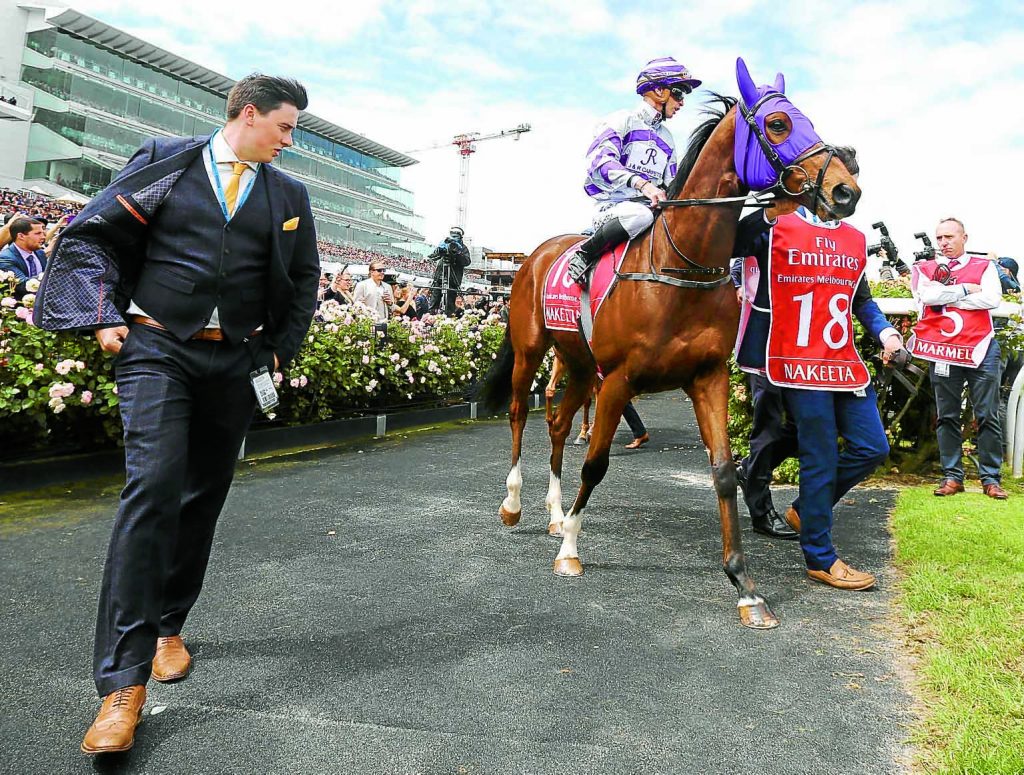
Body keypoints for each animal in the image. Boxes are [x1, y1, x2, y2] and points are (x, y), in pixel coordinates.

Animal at [481, 60, 864, 630]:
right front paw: (571, 548)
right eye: (778, 124)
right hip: (532, 351)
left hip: (579, 364)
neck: (681, 267)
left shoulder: (707, 377)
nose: (846, 191)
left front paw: (746, 587)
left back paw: (552, 511)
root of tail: (535, 254)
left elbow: (725, 472)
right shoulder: (619, 379)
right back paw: (514, 505)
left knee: (558, 422)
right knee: (517, 413)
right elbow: (596, 464)